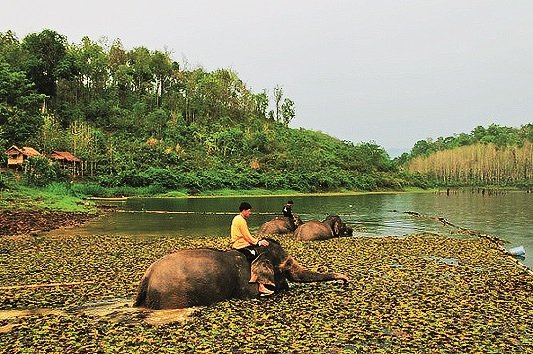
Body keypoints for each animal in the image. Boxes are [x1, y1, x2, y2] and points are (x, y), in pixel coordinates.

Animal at [134, 238, 350, 310]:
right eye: (286, 265)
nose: (346, 282)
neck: (256, 252)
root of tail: (147, 276)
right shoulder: (246, 284)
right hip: (172, 296)